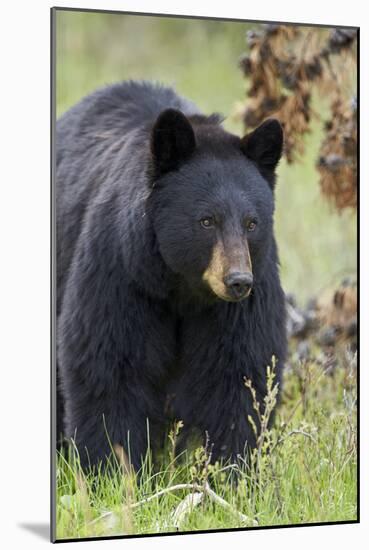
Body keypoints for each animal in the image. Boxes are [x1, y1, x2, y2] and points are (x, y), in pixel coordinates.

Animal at [56, 80, 288, 472]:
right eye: (206, 220)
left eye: (251, 222)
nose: (238, 281)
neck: (182, 287)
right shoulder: (122, 272)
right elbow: (110, 366)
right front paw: (111, 468)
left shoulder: (243, 301)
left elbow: (239, 376)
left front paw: (232, 471)